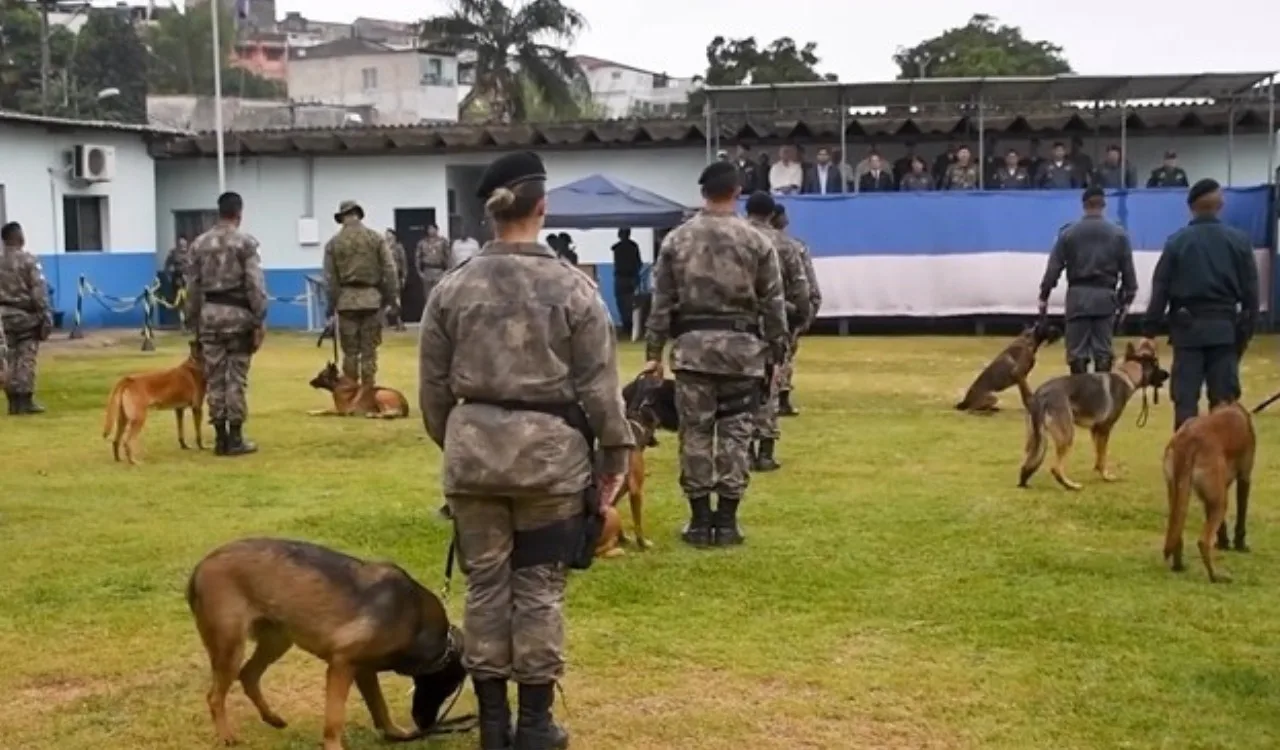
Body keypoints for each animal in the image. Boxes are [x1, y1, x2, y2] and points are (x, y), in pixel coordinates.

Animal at [186, 537, 468, 747]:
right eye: (448, 686)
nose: (426, 726)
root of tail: (201, 565)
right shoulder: (342, 664)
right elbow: (335, 717)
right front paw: (334, 745)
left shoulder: (363, 670)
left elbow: (379, 706)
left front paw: (393, 732)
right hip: (231, 647)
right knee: (215, 696)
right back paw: (226, 735)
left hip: (278, 640)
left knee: (248, 675)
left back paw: (273, 718)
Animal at [1018, 337, 1172, 491]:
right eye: (1156, 364)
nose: (1168, 374)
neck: (1127, 375)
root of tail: (1040, 394)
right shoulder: (1105, 429)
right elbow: (1103, 455)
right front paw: (1106, 476)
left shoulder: (1095, 430)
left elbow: (1098, 454)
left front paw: (1099, 471)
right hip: (1066, 435)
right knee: (1055, 468)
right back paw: (1071, 485)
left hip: (1037, 440)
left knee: (1027, 465)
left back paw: (1025, 483)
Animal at [1167, 399, 1254, 581]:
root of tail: (1187, 439)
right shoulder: (1244, 478)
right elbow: (1241, 515)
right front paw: (1239, 544)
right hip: (1220, 501)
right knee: (1203, 541)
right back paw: (1215, 576)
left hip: (1177, 495)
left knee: (1176, 533)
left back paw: (1179, 566)